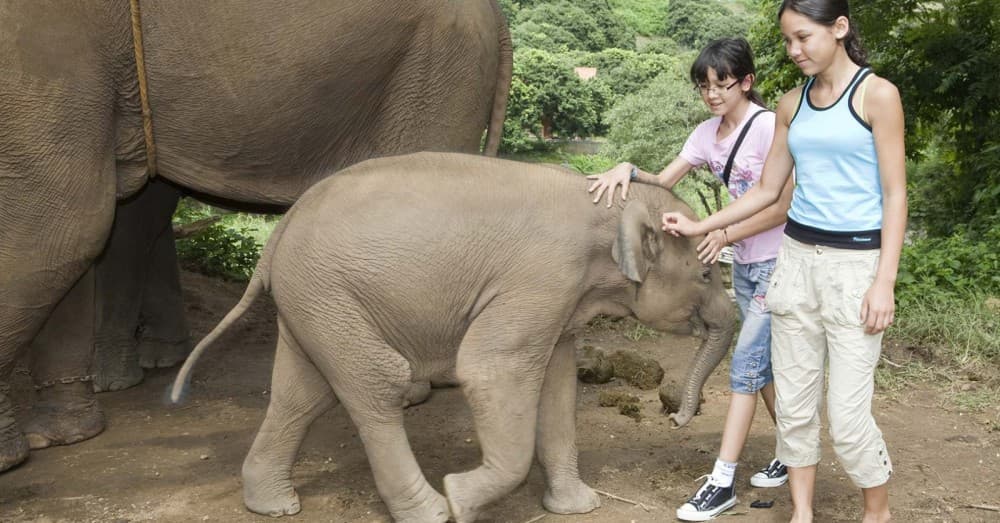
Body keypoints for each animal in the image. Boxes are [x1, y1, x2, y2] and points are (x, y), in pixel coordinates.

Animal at [0, 0, 511, 472]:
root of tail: (496, 15)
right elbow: (84, 225)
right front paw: (60, 435)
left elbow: (65, 221)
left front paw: (13, 455)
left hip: (438, 67)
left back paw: (406, 387)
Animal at [169, 152, 738, 522]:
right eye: (707, 273)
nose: (677, 417)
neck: (605, 203)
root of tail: (279, 233)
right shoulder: (540, 278)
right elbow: (489, 369)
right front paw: (462, 498)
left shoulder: (558, 301)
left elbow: (557, 387)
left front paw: (578, 506)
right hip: (327, 295)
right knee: (375, 382)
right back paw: (431, 511)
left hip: (312, 303)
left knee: (302, 393)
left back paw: (273, 505)